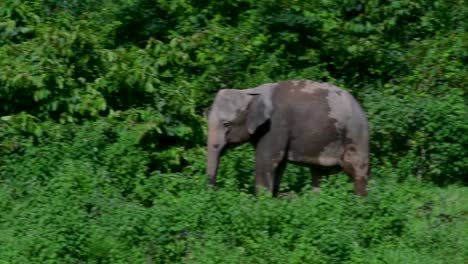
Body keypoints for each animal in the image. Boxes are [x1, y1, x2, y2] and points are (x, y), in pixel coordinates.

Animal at [207, 78, 372, 196]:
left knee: (357, 170)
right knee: (318, 173)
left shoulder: (276, 125)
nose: (213, 191)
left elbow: (267, 161)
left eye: (226, 124)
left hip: (355, 134)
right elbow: (279, 165)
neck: (251, 92)